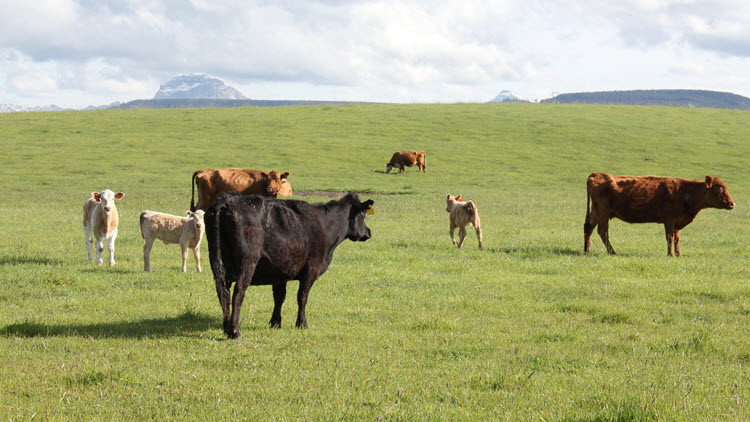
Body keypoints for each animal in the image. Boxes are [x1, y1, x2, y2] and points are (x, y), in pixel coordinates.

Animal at [205, 191, 374, 338]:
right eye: (363, 215)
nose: (369, 232)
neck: (324, 226)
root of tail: (228, 200)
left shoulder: (281, 270)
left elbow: (279, 297)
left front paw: (275, 323)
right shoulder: (311, 270)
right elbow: (302, 297)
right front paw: (302, 323)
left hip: (219, 264)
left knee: (224, 293)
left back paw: (226, 328)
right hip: (247, 263)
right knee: (238, 293)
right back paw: (235, 331)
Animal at [584, 172, 735, 256]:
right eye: (721, 189)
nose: (732, 203)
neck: (686, 192)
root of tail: (597, 174)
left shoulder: (677, 222)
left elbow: (677, 238)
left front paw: (679, 254)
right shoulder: (669, 219)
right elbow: (670, 237)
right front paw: (671, 254)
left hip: (596, 211)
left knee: (589, 227)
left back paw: (587, 250)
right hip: (603, 211)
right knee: (602, 231)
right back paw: (612, 252)